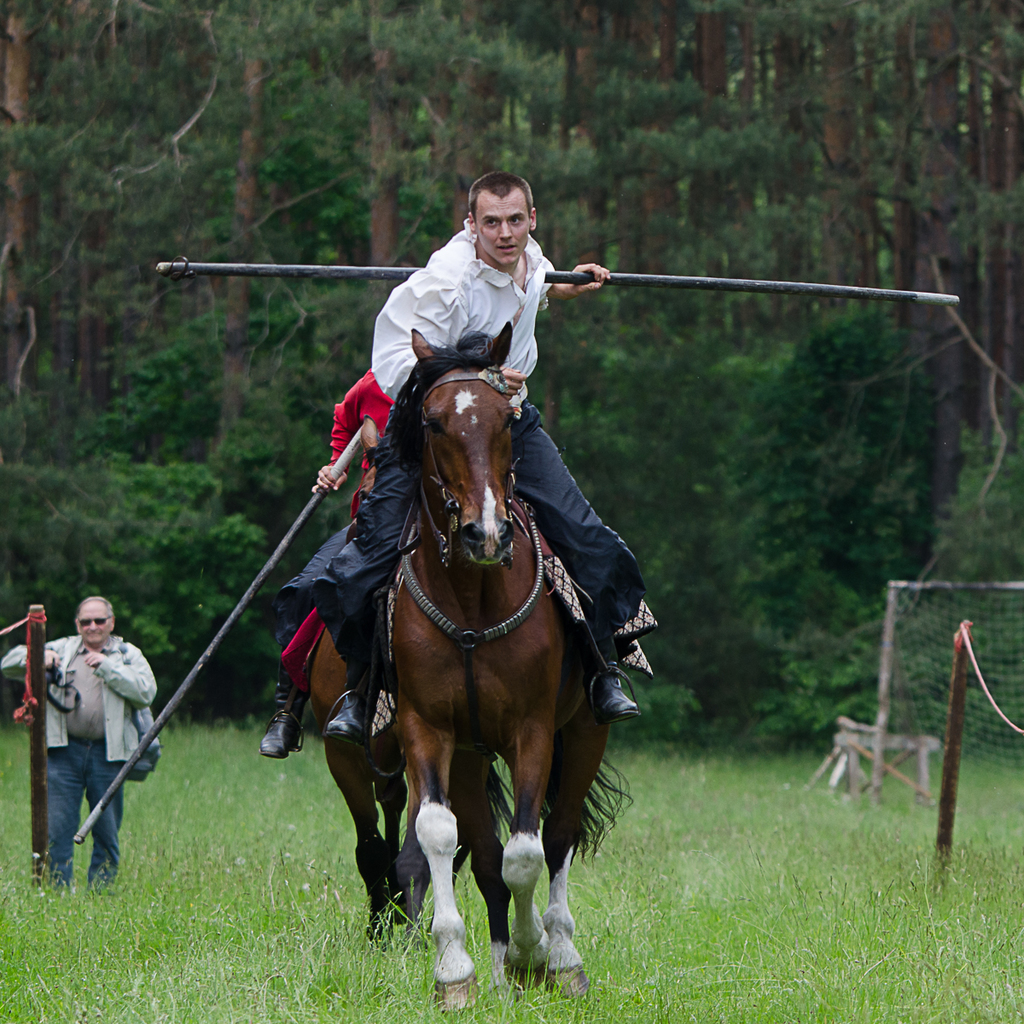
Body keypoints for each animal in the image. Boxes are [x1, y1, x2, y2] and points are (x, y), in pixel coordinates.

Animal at [389, 325, 614, 1007]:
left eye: (505, 421)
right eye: (433, 421)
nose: (484, 534)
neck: (473, 597)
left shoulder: (532, 730)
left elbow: (527, 853)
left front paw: (531, 949)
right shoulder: (429, 730)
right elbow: (443, 836)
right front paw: (455, 971)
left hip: (584, 731)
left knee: (558, 836)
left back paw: (560, 954)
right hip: (469, 755)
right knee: (486, 855)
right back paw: (495, 968)